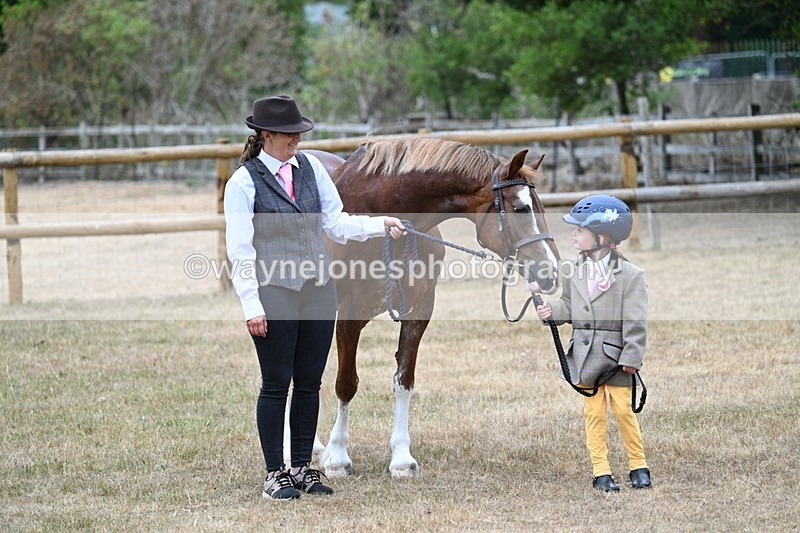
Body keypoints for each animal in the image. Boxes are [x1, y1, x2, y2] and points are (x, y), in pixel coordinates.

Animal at [307, 138, 560, 477]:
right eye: (520, 208)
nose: (551, 271)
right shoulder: (349, 315)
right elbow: (346, 384)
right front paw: (337, 458)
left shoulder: (419, 313)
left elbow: (404, 382)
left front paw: (401, 459)